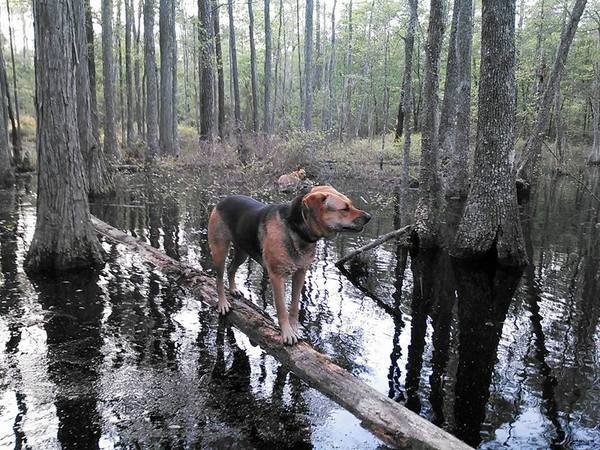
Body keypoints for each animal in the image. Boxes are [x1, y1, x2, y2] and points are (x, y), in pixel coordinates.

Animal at [207, 186, 370, 344]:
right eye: (344, 208)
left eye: (350, 204)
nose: (369, 217)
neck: (296, 229)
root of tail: (223, 200)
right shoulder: (277, 276)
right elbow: (281, 309)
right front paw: (287, 333)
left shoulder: (300, 273)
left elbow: (294, 306)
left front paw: (294, 329)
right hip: (220, 250)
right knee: (219, 279)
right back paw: (223, 303)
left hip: (243, 252)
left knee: (231, 269)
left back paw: (233, 289)